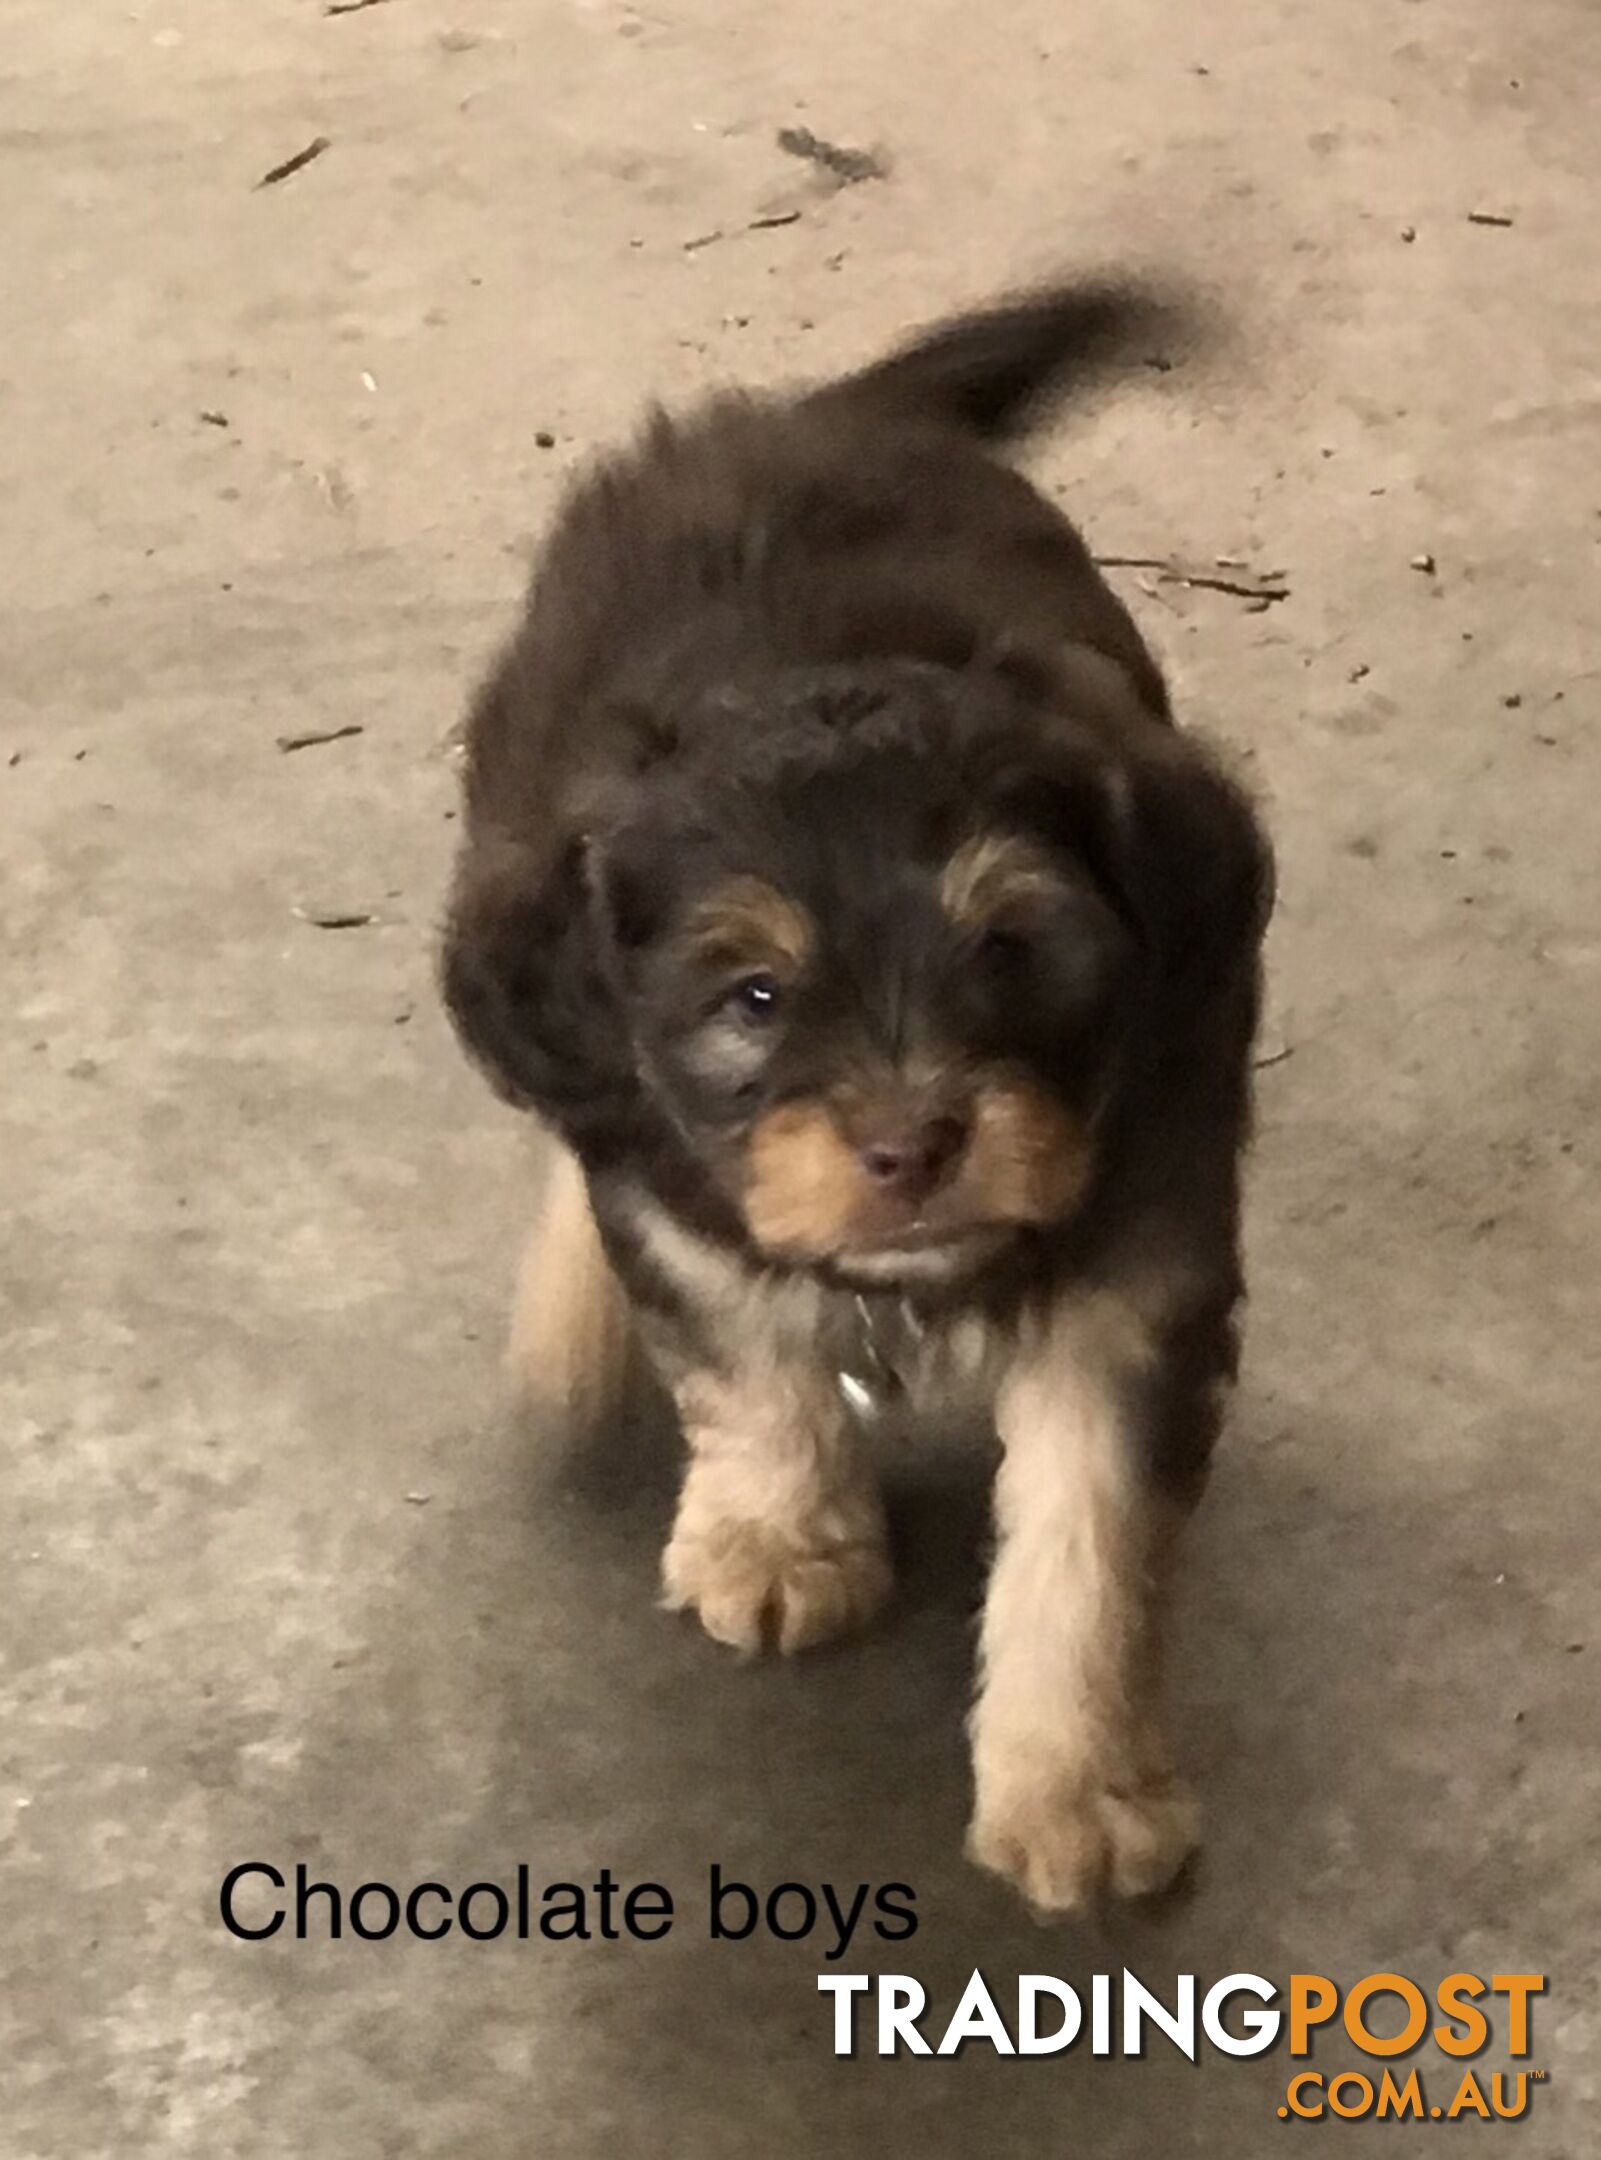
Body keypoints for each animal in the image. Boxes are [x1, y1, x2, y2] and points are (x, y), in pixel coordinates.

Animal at [440, 282, 1270, 1909]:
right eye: (754, 999)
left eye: (1011, 951)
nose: (913, 1145)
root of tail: (816, 410)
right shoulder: (683, 1196)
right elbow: (741, 1350)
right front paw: (778, 1541)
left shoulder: (1142, 1258)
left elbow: (1088, 1543)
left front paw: (1078, 1789)